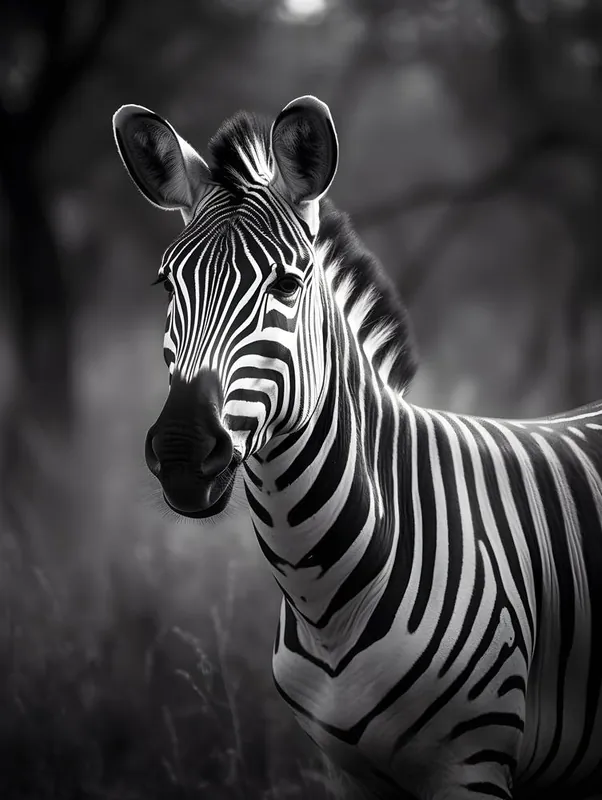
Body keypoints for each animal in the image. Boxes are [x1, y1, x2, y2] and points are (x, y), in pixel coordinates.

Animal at [112, 96, 602, 800]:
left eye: (287, 287)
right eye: (167, 284)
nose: (181, 452)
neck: (326, 601)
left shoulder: (473, 765)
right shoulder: (349, 773)